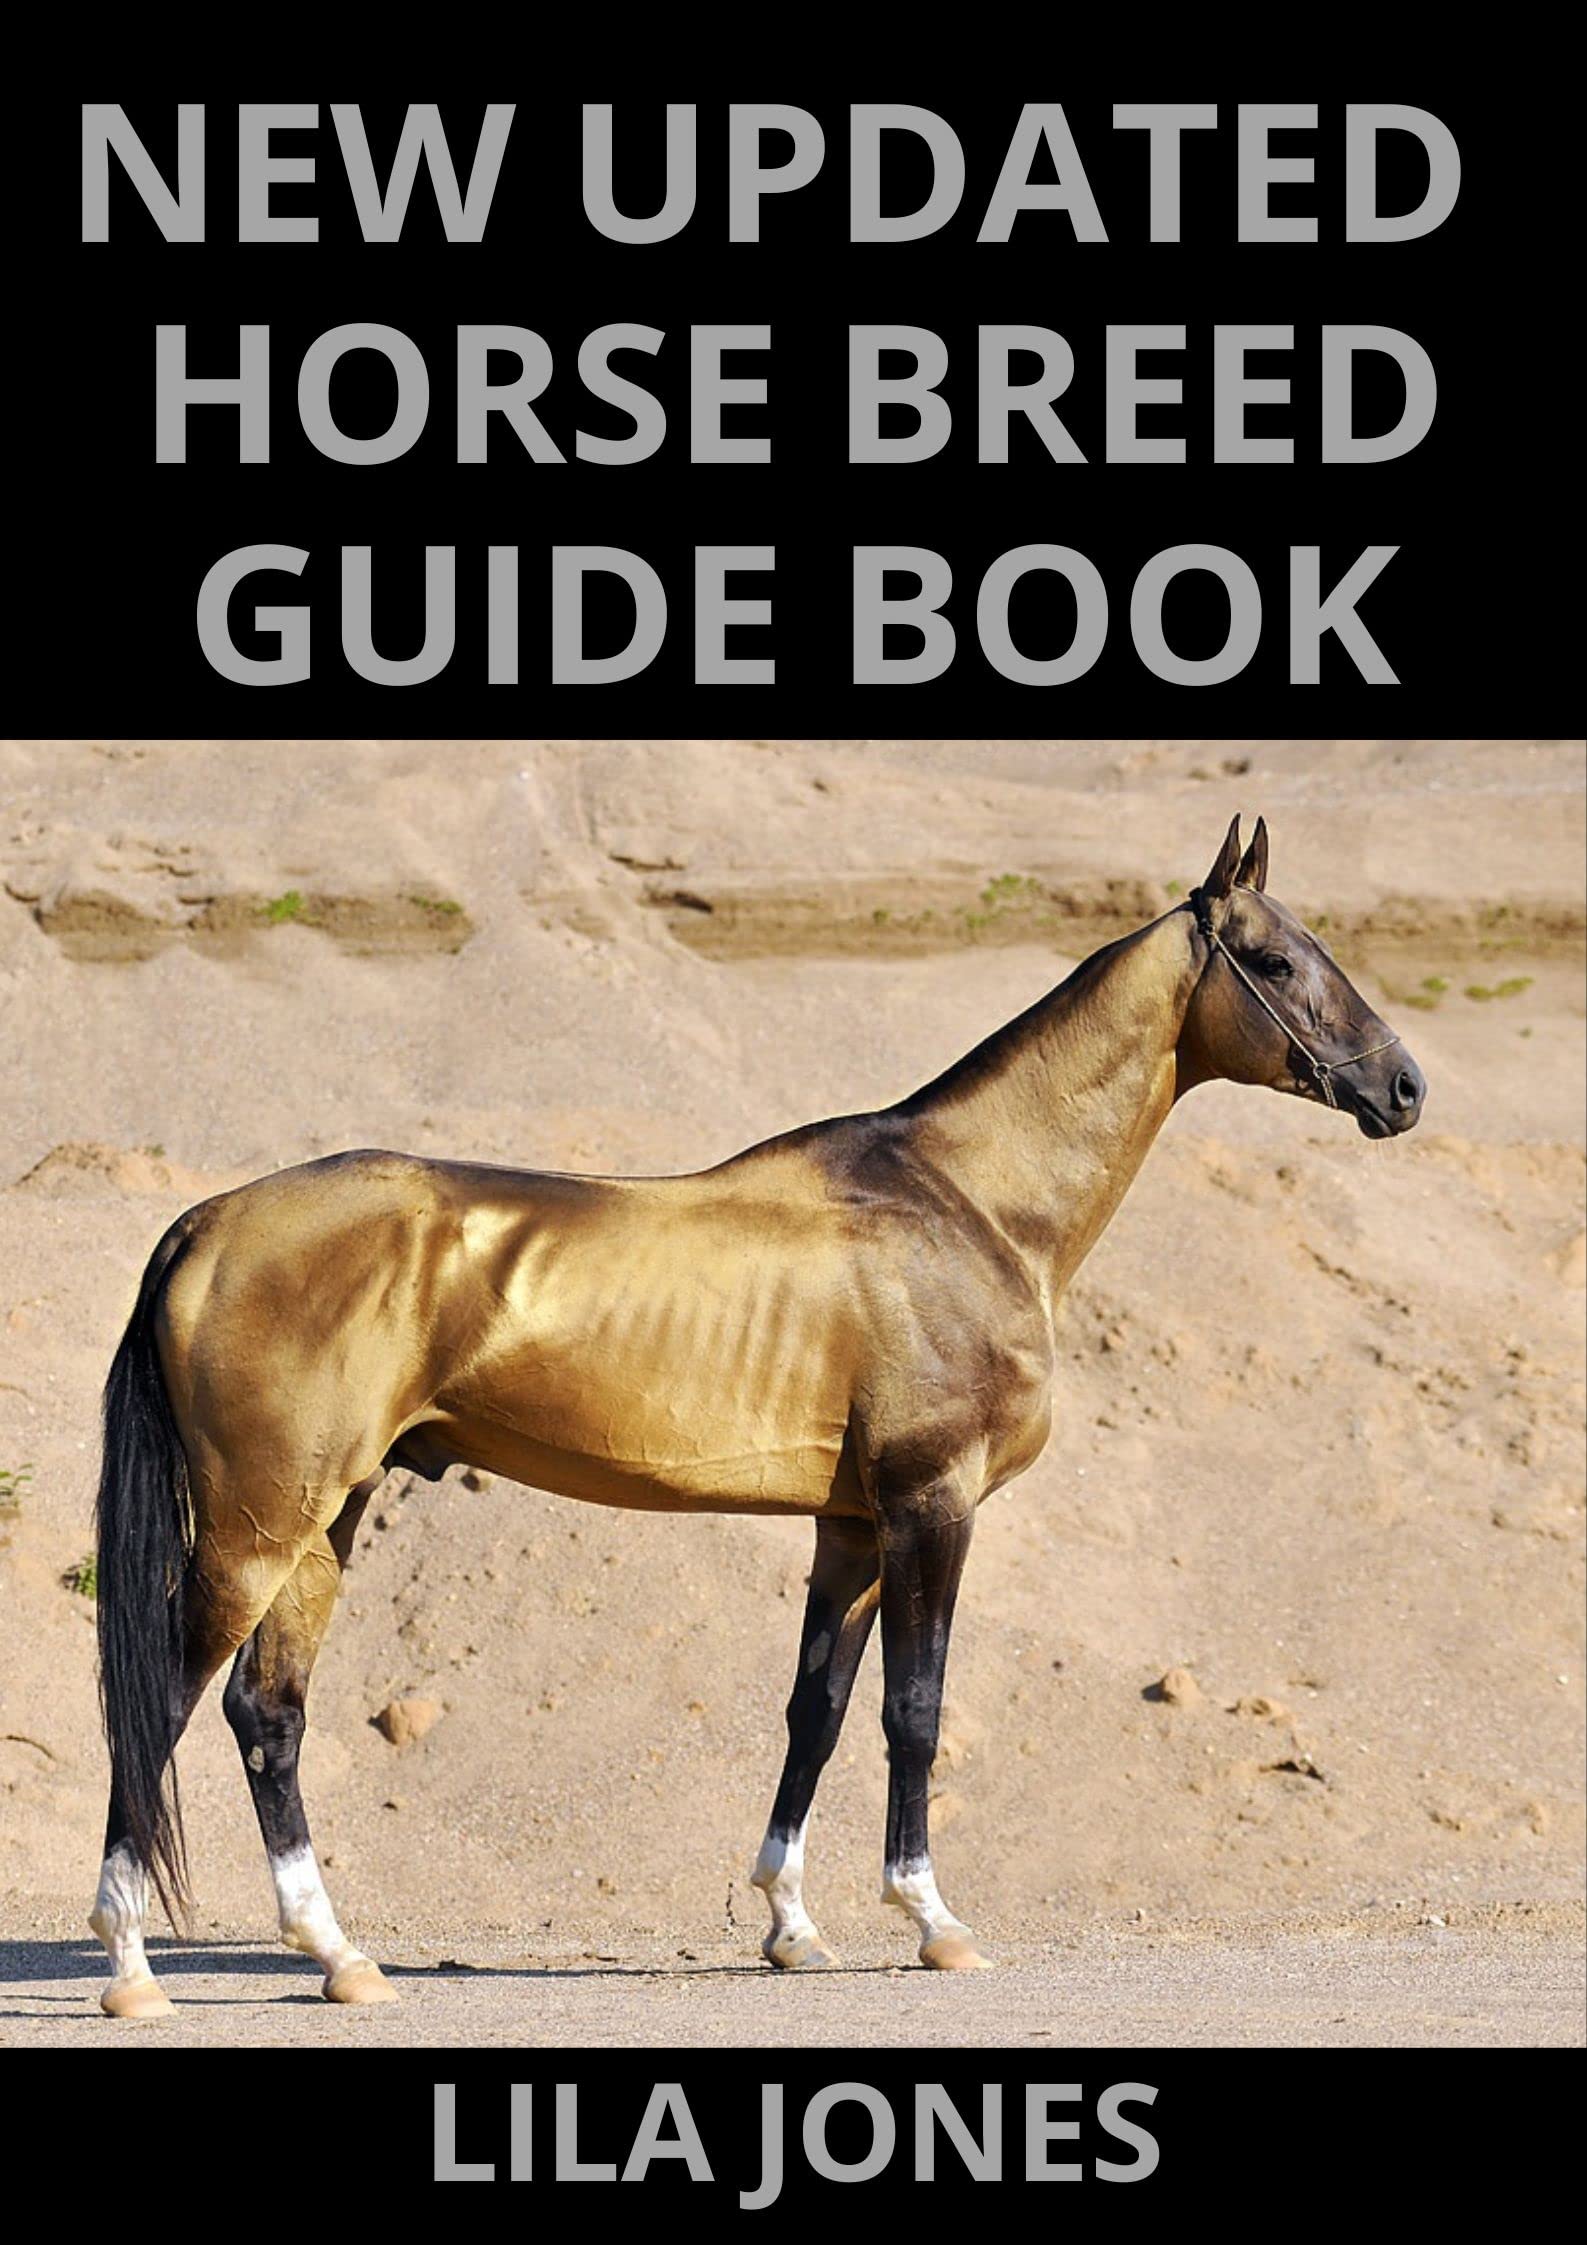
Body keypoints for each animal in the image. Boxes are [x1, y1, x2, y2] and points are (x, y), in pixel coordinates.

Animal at [88, 815, 1425, 2016]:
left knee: (268, 1710)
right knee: (164, 1701)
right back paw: (132, 1968)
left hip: (327, 1518)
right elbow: (913, 1711)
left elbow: (815, 1712)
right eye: (1279, 960)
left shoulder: (853, 1526)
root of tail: (205, 1223)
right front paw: (932, 1920)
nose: (1404, 1086)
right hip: (260, 1527)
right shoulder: (931, 1504)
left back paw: (340, 1957)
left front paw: (790, 1924)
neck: (970, 1203)